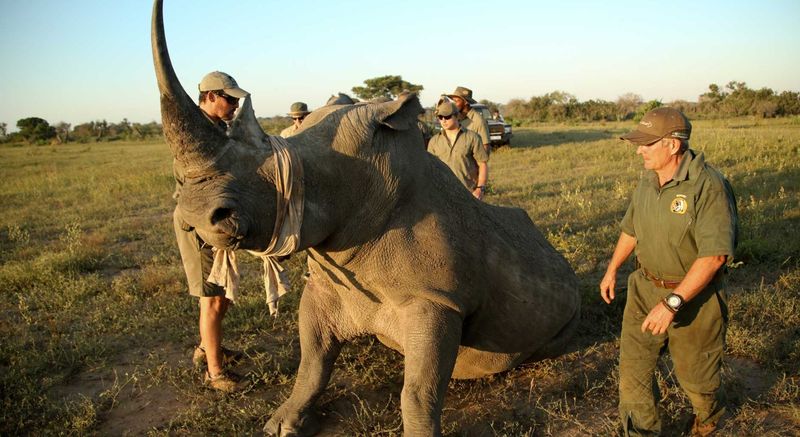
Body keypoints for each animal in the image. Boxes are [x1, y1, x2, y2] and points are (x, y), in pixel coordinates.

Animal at [151, 1, 580, 435]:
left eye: (291, 170)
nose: (194, 216)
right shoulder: (327, 285)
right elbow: (313, 363)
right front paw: (280, 425)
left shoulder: (436, 300)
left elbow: (418, 391)